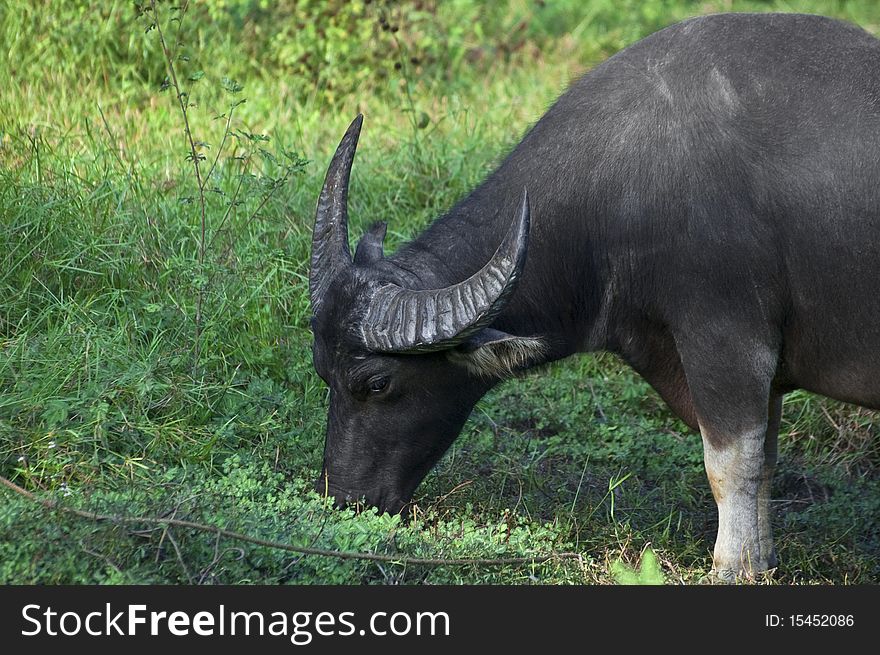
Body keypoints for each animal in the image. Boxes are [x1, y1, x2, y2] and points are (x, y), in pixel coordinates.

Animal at [310, 12, 880, 580]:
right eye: (322, 373)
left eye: (377, 383)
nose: (343, 499)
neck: (621, 187)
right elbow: (763, 461)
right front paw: (759, 561)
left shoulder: (727, 342)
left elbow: (730, 465)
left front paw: (729, 566)